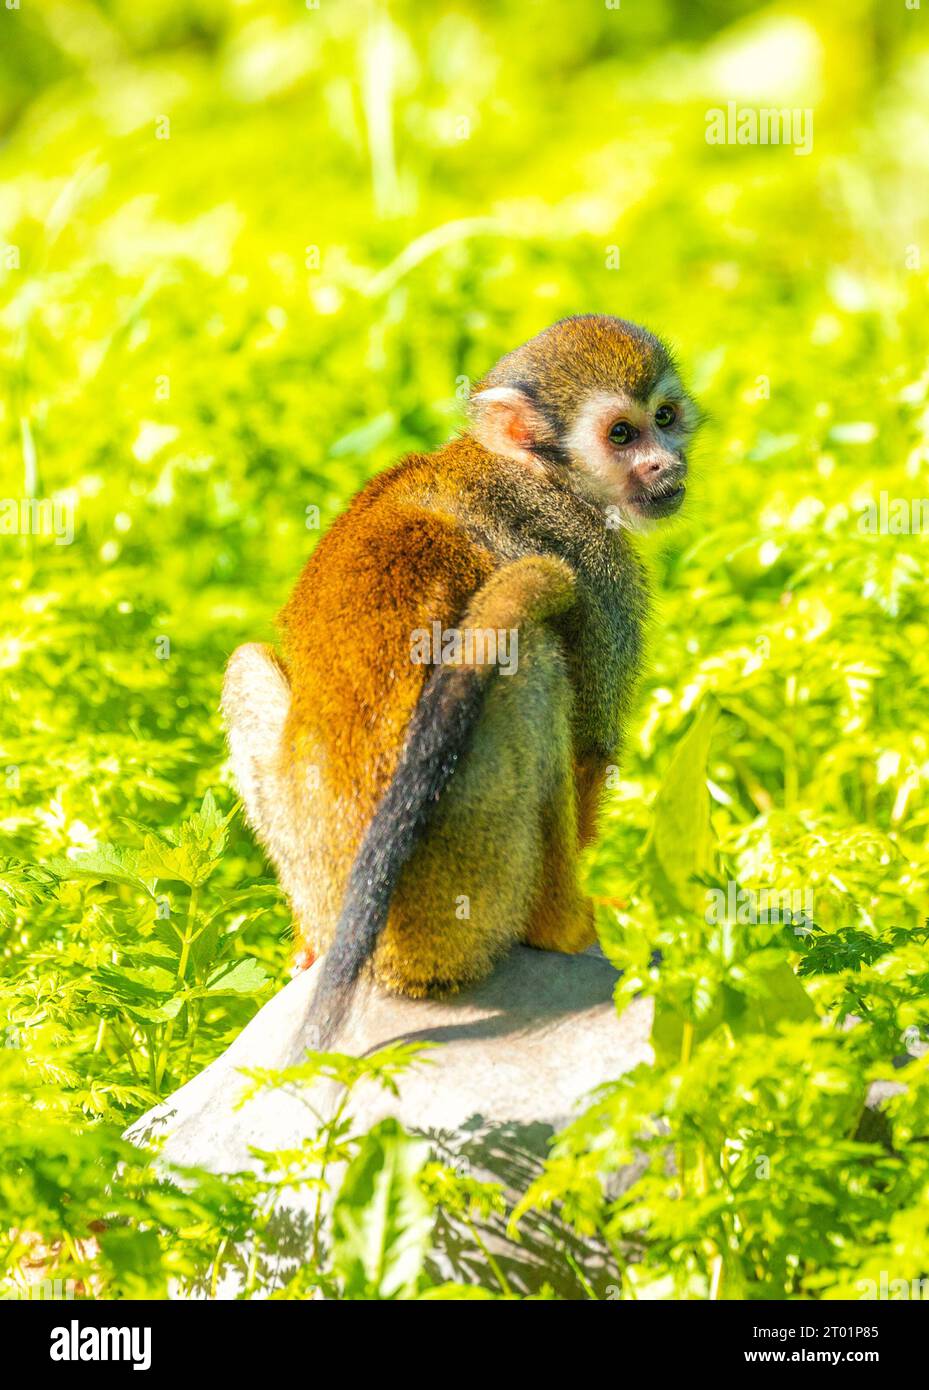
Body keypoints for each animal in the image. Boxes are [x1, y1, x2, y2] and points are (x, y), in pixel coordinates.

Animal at [222, 314, 699, 1047]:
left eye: (665, 418)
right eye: (621, 434)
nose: (666, 466)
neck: (535, 473)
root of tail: (393, 959)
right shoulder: (598, 564)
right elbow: (590, 748)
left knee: (246, 663)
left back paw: (311, 944)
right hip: (474, 884)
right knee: (532, 654)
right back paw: (561, 925)